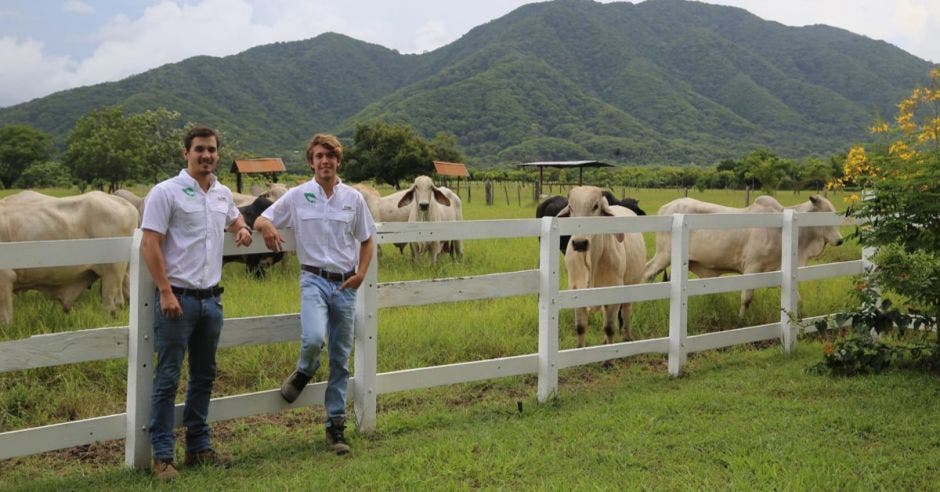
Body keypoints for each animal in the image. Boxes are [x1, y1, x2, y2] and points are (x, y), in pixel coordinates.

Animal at [560, 186, 648, 348]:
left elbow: (610, 328)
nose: (580, 243)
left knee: (626, 312)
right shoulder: (576, 289)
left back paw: (627, 337)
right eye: (571, 206)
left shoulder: (614, 290)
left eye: (595, 206)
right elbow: (580, 327)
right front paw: (580, 348)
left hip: (631, 285)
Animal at [644, 194, 848, 318]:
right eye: (826, 214)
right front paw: (741, 319)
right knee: (648, 272)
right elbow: (746, 298)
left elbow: (796, 297)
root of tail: (666, 207)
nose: (840, 240)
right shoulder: (752, 268)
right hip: (664, 254)